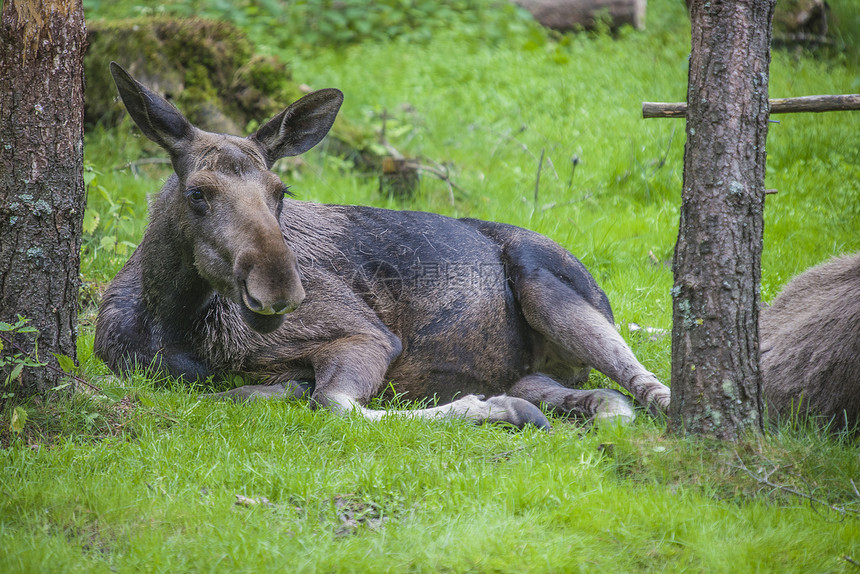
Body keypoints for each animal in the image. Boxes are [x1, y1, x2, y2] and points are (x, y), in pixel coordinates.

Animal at [95, 64, 672, 432]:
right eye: (197, 193)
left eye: (281, 192)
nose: (278, 288)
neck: (171, 320)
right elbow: (244, 392)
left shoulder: (367, 334)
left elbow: (334, 403)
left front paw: (490, 410)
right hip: (536, 371)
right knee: (608, 398)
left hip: (548, 283)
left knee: (645, 383)